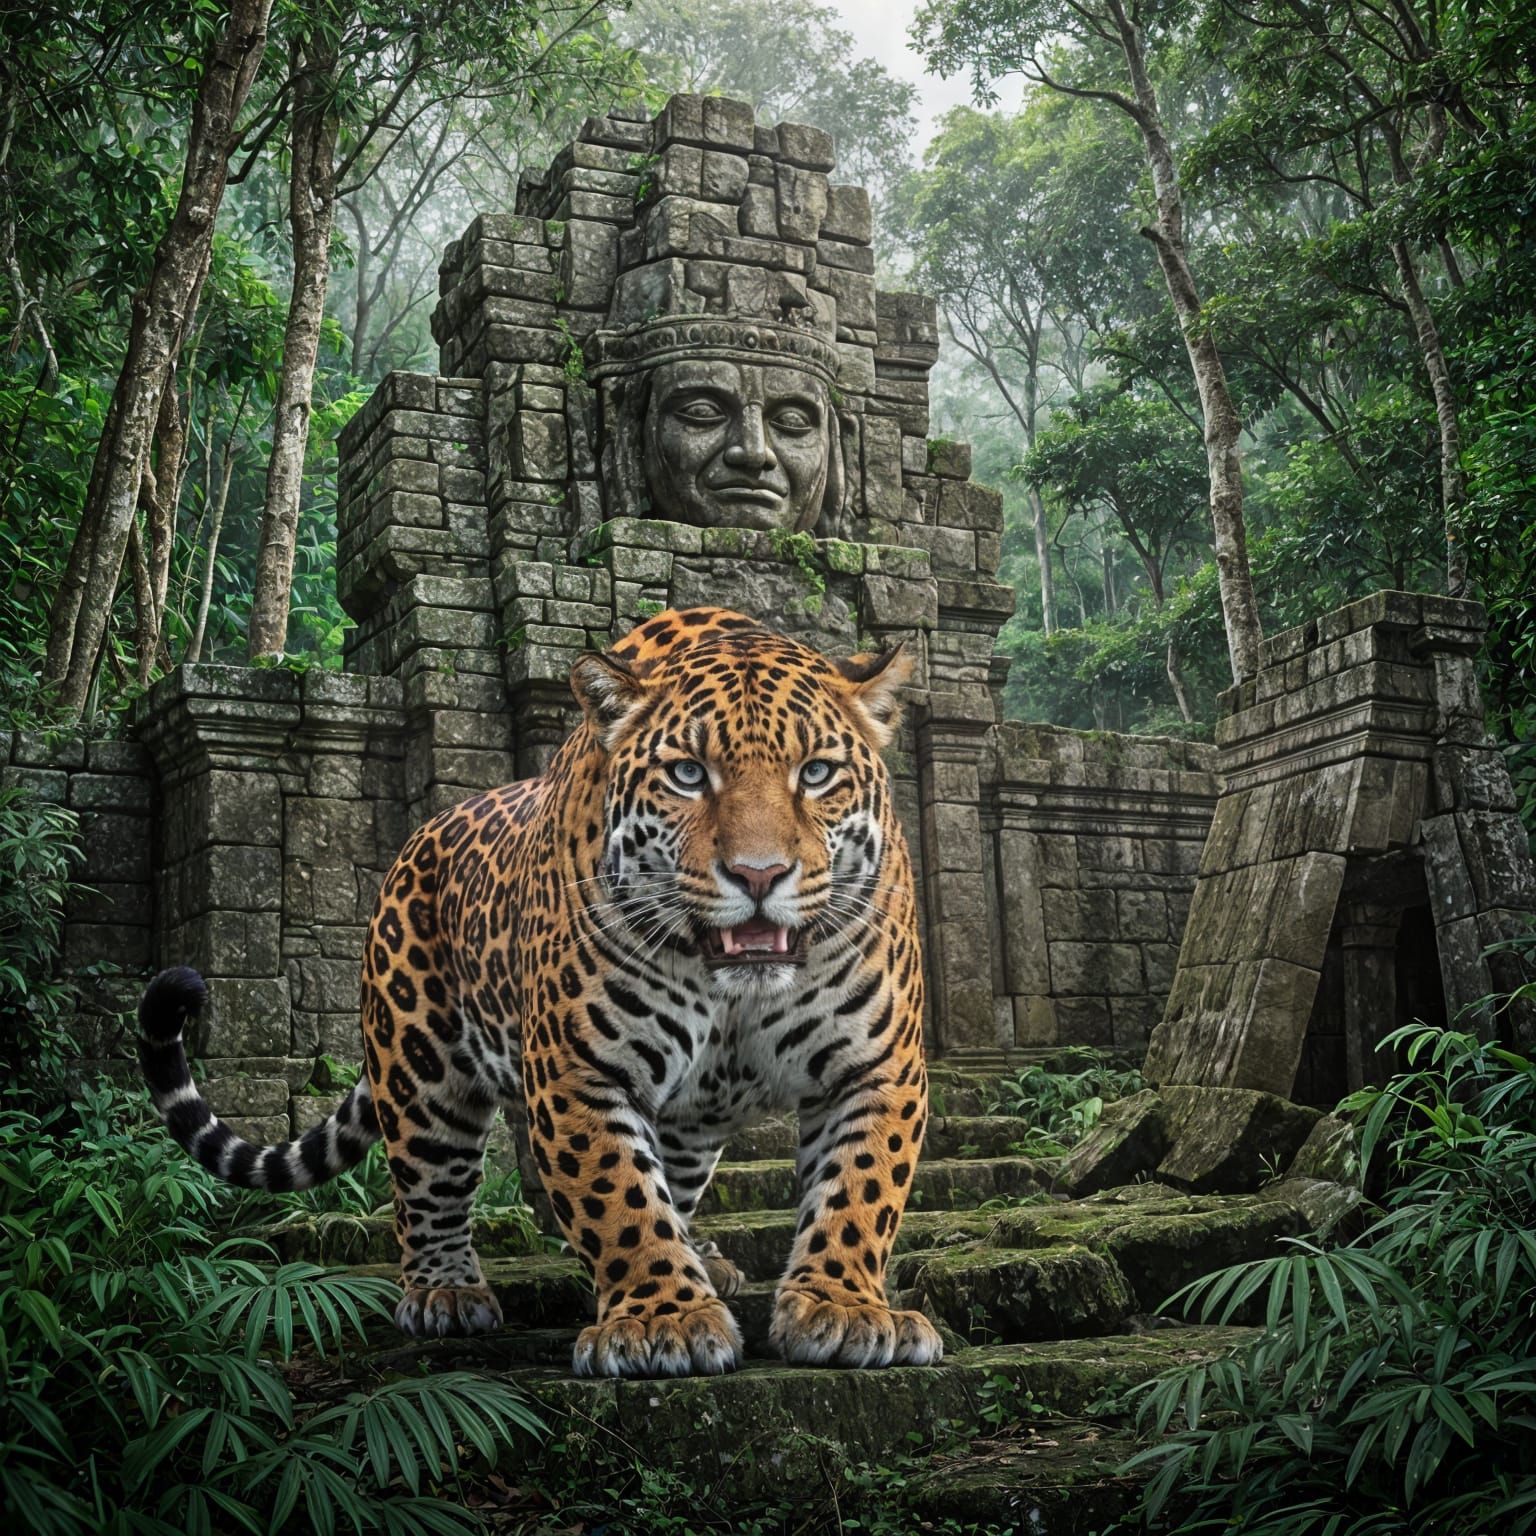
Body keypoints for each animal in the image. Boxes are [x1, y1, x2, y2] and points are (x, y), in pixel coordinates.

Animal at [139, 606, 941, 1379]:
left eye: (817, 772)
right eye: (687, 773)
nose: (758, 874)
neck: (733, 992)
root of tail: (418, 837)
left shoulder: (877, 1068)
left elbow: (858, 1193)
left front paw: (844, 1309)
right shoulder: (579, 1072)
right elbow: (619, 1198)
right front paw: (663, 1321)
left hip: (687, 1123)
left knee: (676, 1180)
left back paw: (703, 1261)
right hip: (421, 1074)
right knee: (428, 1188)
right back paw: (444, 1293)